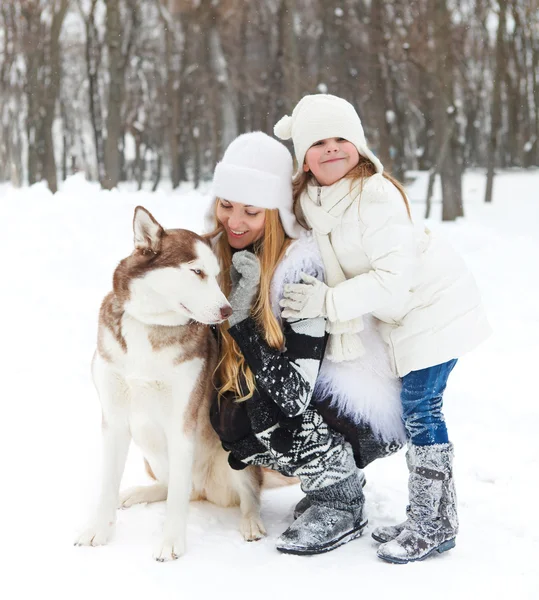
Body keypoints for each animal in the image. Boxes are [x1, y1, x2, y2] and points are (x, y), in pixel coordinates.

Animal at [76, 207, 268, 564]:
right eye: (197, 271)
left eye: (216, 274)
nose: (228, 310)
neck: (150, 325)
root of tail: (206, 490)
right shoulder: (114, 421)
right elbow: (108, 484)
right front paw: (98, 530)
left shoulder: (182, 424)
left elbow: (178, 498)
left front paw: (171, 542)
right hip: (150, 456)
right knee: (173, 488)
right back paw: (140, 492)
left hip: (233, 452)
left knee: (246, 494)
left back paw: (251, 522)